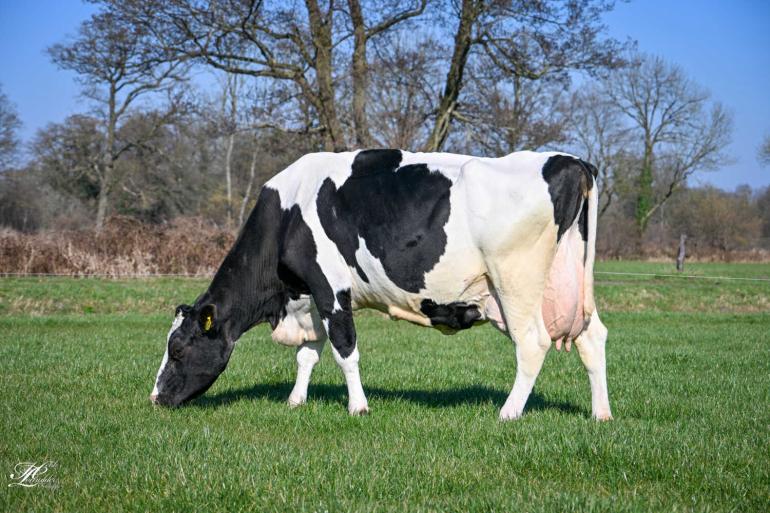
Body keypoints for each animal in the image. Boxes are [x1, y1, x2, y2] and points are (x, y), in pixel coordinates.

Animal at [150, 149, 612, 421]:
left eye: (178, 349)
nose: (155, 399)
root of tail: (568, 160)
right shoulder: (311, 296)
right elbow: (308, 354)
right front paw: (296, 401)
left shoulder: (331, 288)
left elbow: (344, 351)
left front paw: (358, 406)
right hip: (568, 282)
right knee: (592, 339)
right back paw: (600, 414)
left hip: (515, 282)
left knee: (532, 343)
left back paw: (508, 413)